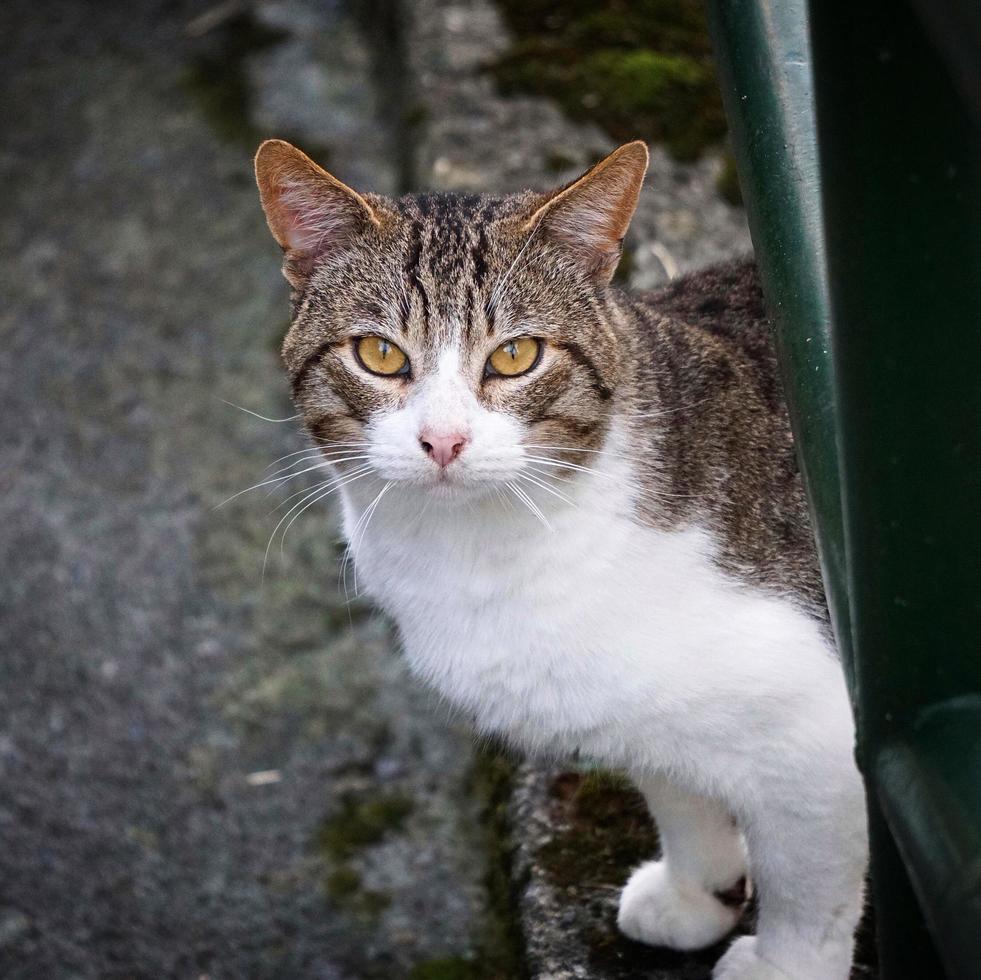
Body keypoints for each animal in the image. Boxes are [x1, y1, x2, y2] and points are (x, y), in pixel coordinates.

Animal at [251, 140, 864, 980]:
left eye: (515, 355)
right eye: (378, 353)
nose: (443, 441)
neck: (479, 554)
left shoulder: (817, 744)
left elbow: (806, 886)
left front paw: (781, 966)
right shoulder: (640, 707)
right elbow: (679, 796)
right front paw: (696, 893)